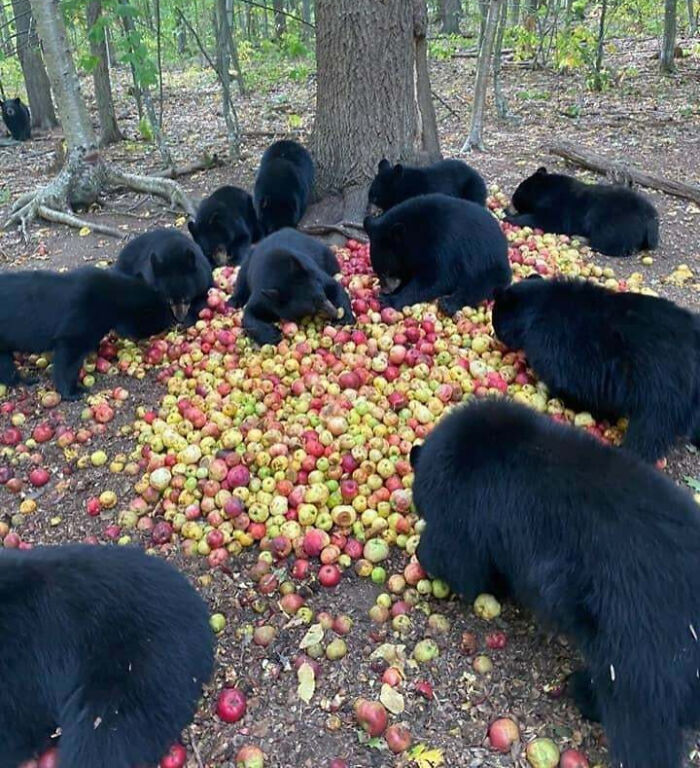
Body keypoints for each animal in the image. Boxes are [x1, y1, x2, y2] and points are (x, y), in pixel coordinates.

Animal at [363, 193, 511, 315]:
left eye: (387, 271)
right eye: (378, 271)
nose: (385, 290)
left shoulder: (443, 245)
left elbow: (437, 279)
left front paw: (390, 300)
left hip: (488, 263)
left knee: (480, 284)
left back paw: (449, 303)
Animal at [410, 398, 700, 768]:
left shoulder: (469, 512)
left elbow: (458, 560)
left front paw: (428, 558)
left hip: (640, 646)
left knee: (638, 721)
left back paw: (584, 693)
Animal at [491, 275, 700, 462]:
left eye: (495, 321)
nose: (495, 334)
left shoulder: (559, 347)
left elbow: (572, 388)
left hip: (661, 385)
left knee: (650, 430)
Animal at [505, 167, 659, 257]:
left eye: (516, 194)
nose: (511, 202)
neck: (545, 191)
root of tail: (650, 221)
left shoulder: (557, 207)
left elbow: (545, 220)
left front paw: (509, 216)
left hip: (612, 218)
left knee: (607, 239)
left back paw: (581, 238)